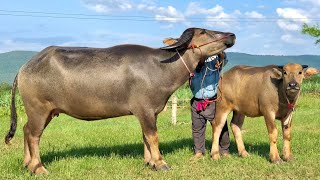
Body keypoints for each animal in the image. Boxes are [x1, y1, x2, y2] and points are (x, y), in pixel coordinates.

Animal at [4, 28, 235, 174]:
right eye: (203, 32)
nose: (231, 35)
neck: (161, 68)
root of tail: (25, 67)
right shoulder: (145, 110)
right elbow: (153, 136)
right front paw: (160, 163)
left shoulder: (147, 112)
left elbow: (145, 137)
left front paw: (149, 162)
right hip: (38, 109)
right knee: (34, 135)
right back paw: (38, 167)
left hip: (46, 112)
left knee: (26, 130)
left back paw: (27, 164)